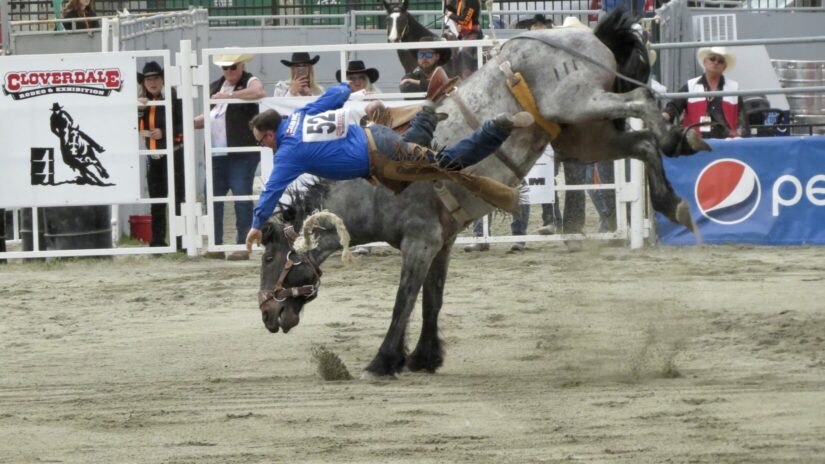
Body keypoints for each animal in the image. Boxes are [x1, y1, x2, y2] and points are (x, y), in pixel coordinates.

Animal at [260, 10, 708, 378]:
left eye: (268, 256)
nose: (267, 314)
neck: (370, 189)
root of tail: (587, 34)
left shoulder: (419, 242)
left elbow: (405, 300)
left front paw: (383, 361)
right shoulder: (441, 243)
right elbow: (432, 300)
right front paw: (423, 357)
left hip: (581, 103)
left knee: (644, 100)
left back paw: (679, 141)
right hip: (583, 138)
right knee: (643, 143)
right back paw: (674, 198)